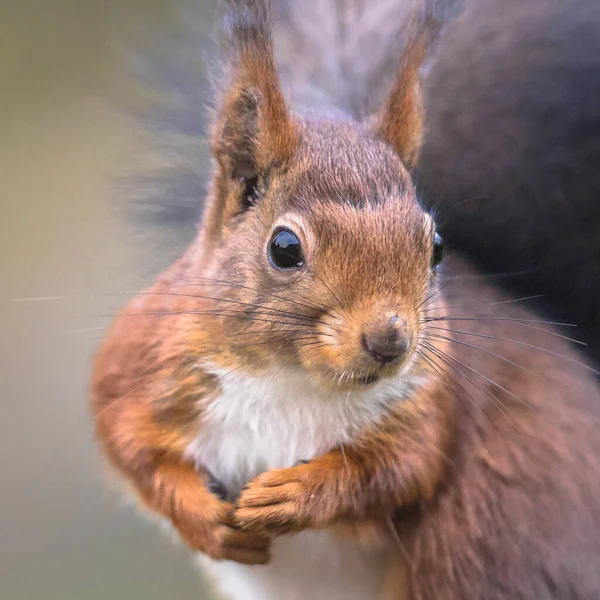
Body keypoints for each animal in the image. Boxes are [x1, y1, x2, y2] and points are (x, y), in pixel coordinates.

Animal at [91, 1, 600, 600]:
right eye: (284, 248)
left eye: (436, 246)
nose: (390, 341)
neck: (292, 377)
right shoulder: (141, 359)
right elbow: (124, 439)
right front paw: (204, 518)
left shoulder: (430, 401)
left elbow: (402, 467)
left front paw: (297, 493)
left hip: (480, 538)